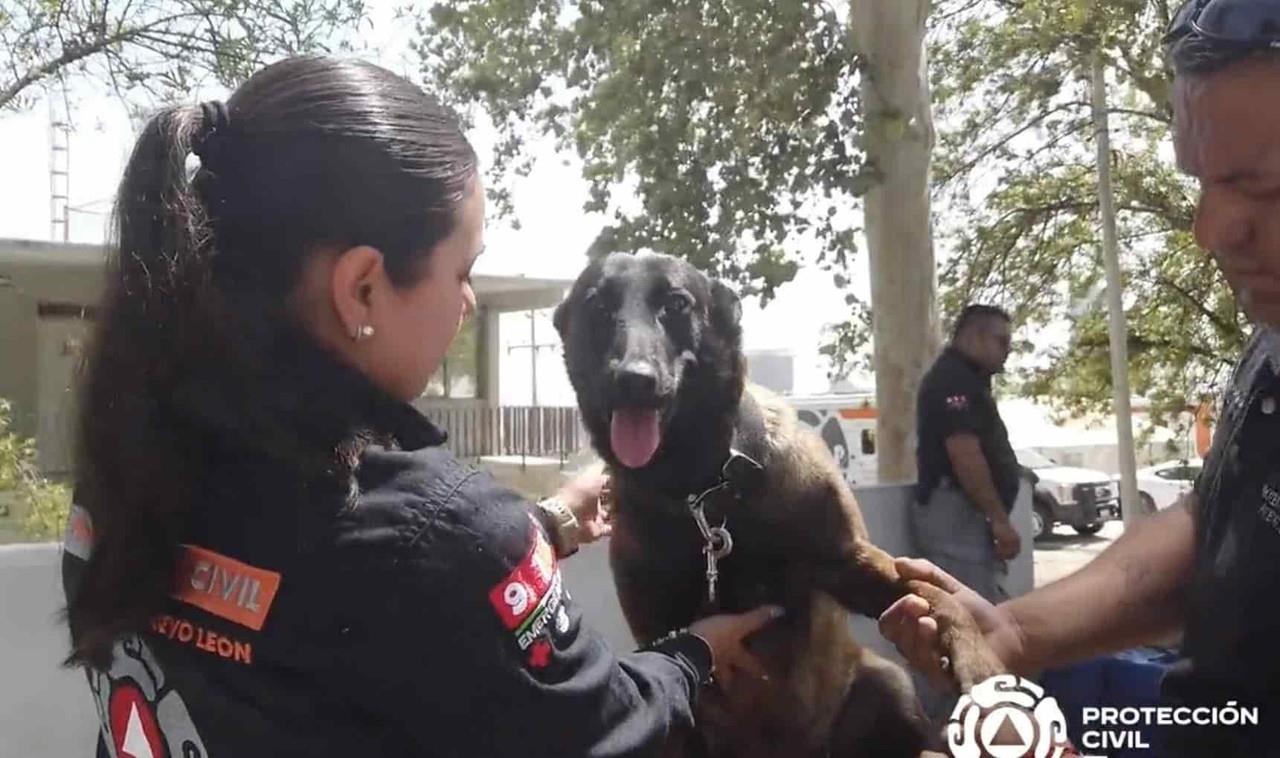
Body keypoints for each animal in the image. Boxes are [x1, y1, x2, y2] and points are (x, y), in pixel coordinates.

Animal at [555, 253, 972, 758]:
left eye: (677, 304)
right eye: (597, 306)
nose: (632, 380)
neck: (701, 492)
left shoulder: (850, 558)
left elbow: (935, 596)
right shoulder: (660, 629)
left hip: (886, 685)